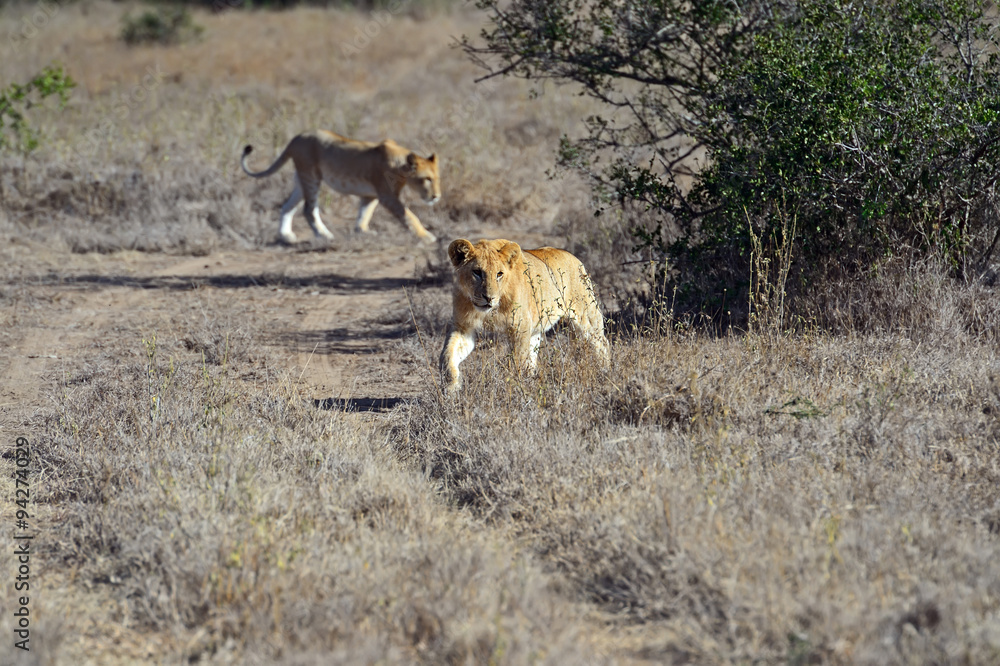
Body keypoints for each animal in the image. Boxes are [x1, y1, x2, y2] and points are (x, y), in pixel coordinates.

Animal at [241, 130, 440, 244]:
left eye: (437, 179)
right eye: (427, 179)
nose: (436, 197)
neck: (401, 166)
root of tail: (297, 138)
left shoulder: (371, 195)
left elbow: (364, 215)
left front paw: (363, 232)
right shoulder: (387, 196)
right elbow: (410, 217)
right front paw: (427, 237)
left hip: (301, 180)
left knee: (287, 206)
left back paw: (286, 236)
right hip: (312, 177)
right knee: (308, 209)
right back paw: (324, 235)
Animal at [440, 238, 610, 392]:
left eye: (499, 274)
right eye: (477, 272)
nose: (489, 298)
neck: (489, 311)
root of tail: (573, 257)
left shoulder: (519, 327)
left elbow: (518, 360)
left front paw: (516, 387)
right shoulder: (463, 327)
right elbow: (447, 355)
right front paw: (451, 387)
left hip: (586, 317)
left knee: (602, 343)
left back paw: (605, 373)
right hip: (536, 331)